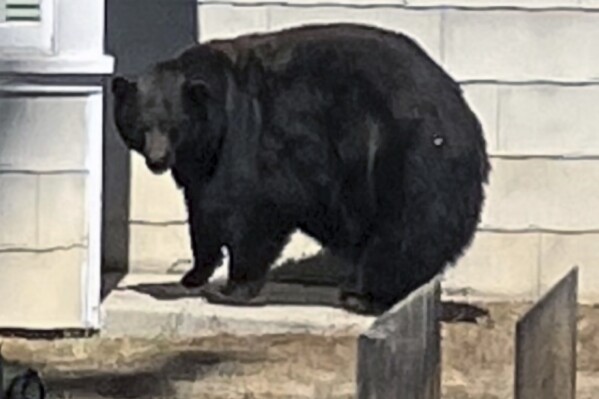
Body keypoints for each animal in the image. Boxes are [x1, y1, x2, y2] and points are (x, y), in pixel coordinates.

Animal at [112, 22, 492, 316]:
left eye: (173, 125)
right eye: (141, 125)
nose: (157, 160)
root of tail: (464, 116)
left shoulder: (254, 138)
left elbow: (254, 209)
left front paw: (231, 288)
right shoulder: (202, 163)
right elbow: (203, 211)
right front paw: (193, 274)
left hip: (406, 156)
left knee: (406, 228)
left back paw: (364, 295)